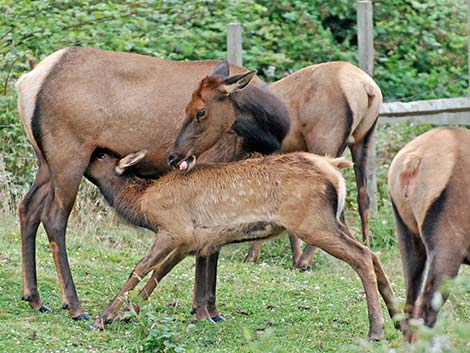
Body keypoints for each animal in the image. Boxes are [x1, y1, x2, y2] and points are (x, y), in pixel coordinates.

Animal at [84, 146, 396, 340]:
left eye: (99, 154)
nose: (83, 156)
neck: (142, 205)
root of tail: (334, 169)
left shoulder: (174, 229)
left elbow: (141, 268)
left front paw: (105, 317)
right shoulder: (193, 241)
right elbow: (161, 273)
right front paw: (130, 313)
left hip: (311, 222)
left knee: (361, 257)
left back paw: (375, 330)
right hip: (335, 220)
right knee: (373, 254)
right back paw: (397, 316)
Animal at [171, 61, 380, 270]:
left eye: (201, 111)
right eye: (185, 108)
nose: (174, 156)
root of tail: (368, 88)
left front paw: (254, 255)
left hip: (326, 142)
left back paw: (305, 260)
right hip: (362, 142)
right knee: (363, 198)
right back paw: (366, 246)